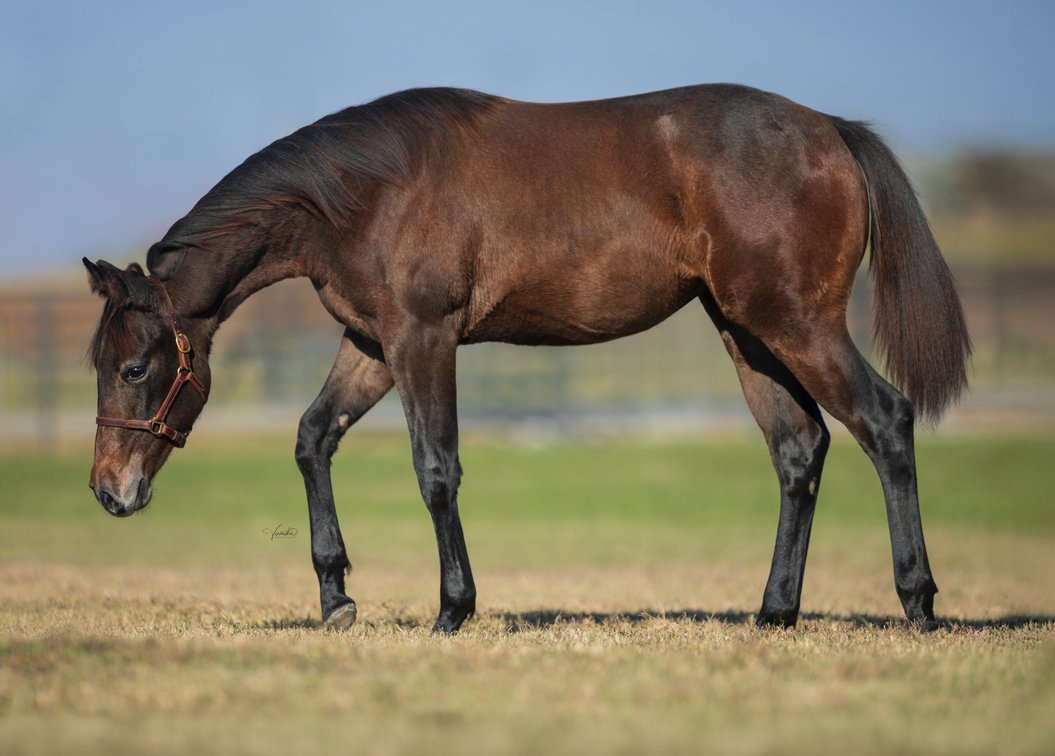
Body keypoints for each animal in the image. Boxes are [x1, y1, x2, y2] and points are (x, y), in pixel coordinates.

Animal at [84, 84, 970, 633]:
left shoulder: (423, 339)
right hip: (746, 331)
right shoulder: (372, 345)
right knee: (798, 448)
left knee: (884, 420)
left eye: (134, 369)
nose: (106, 492)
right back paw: (775, 611)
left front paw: (452, 609)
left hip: (795, 324)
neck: (361, 194)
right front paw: (336, 596)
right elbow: (312, 438)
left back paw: (917, 601)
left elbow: (435, 468)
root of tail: (829, 128)